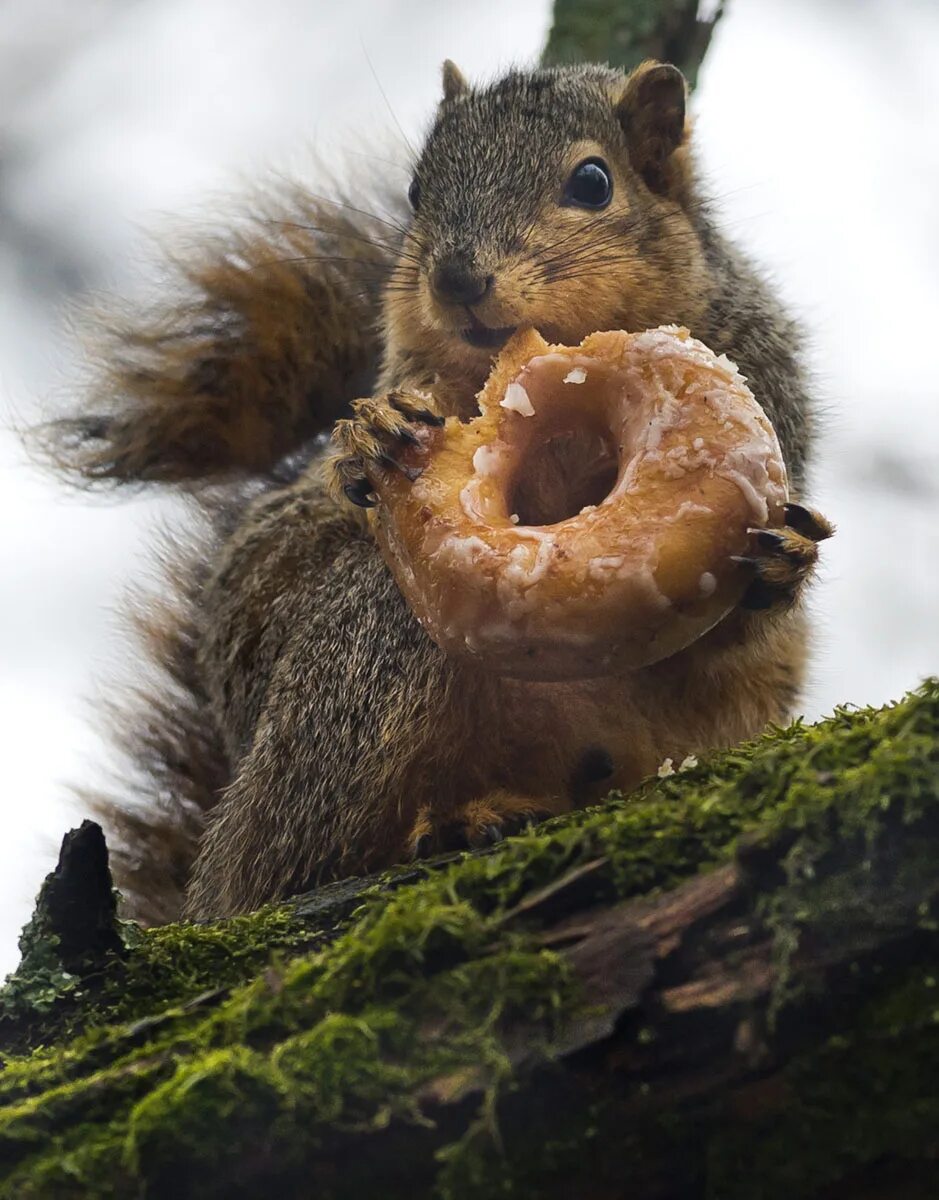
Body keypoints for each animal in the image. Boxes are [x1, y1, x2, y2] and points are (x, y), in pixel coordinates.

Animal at [38, 56, 830, 921]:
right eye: (416, 190)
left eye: (593, 181)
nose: (454, 278)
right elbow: (290, 531)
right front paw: (368, 435)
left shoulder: (767, 387)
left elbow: (727, 624)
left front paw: (784, 557)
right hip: (359, 671)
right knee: (301, 853)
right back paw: (451, 823)